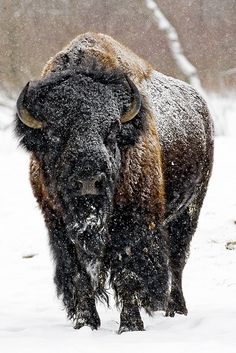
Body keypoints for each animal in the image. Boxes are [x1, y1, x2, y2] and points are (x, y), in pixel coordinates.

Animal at [15, 31, 214, 332]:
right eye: (55, 134)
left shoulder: (133, 222)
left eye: (111, 129)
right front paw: (85, 324)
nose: (89, 180)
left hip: (190, 209)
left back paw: (175, 310)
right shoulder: (58, 224)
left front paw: (131, 326)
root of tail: (202, 110)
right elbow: (79, 275)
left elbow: (127, 272)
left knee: (177, 260)